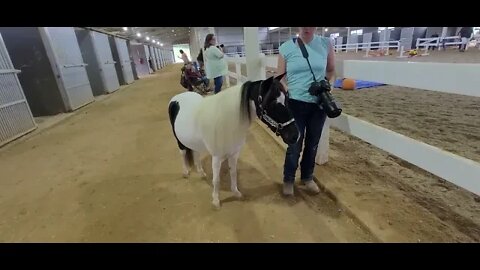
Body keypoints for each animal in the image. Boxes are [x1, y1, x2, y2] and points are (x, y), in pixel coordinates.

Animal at [167, 74, 298, 209]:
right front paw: (216, 201)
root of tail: (177, 98)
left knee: (195, 153)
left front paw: (236, 192)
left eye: (287, 99)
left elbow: (233, 173)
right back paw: (185, 172)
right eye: (272, 103)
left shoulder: (234, 154)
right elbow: (216, 180)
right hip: (179, 141)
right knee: (183, 154)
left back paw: (201, 173)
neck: (226, 122)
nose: (295, 136)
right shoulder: (216, 157)